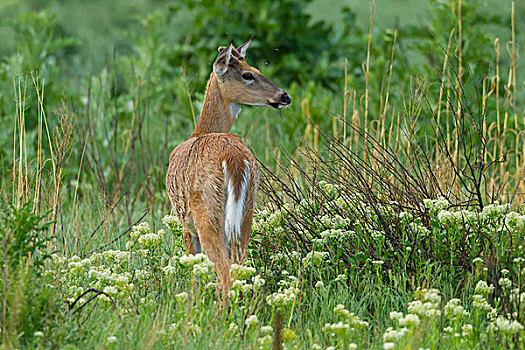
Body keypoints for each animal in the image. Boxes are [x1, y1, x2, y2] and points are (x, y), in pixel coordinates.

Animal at [166, 37, 290, 308]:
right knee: (238, 265)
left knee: (224, 269)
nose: (284, 96)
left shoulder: (185, 224)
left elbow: (194, 272)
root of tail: (233, 158)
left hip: (207, 212)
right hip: (248, 210)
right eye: (248, 73)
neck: (199, 131)